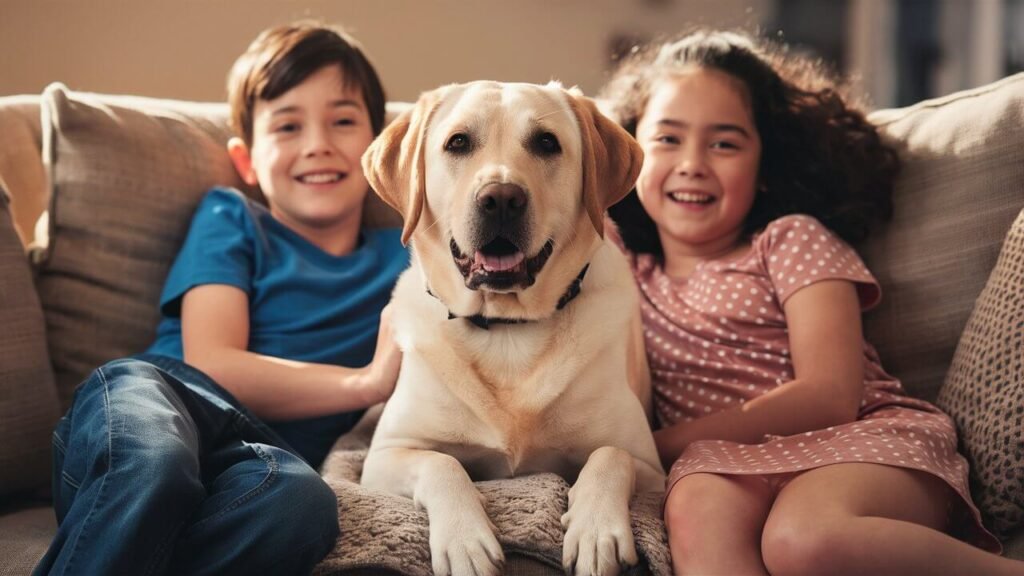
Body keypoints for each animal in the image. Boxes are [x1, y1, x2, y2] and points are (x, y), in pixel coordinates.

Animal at [360, 79, 663, 573]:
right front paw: (464, 539)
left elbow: (610, 454)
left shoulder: (651, 466)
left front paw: (595, 530)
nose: (501, 198)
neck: (506, 329)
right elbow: (441, 465)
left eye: (547, 143)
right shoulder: (385, 456)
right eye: (458, 142)